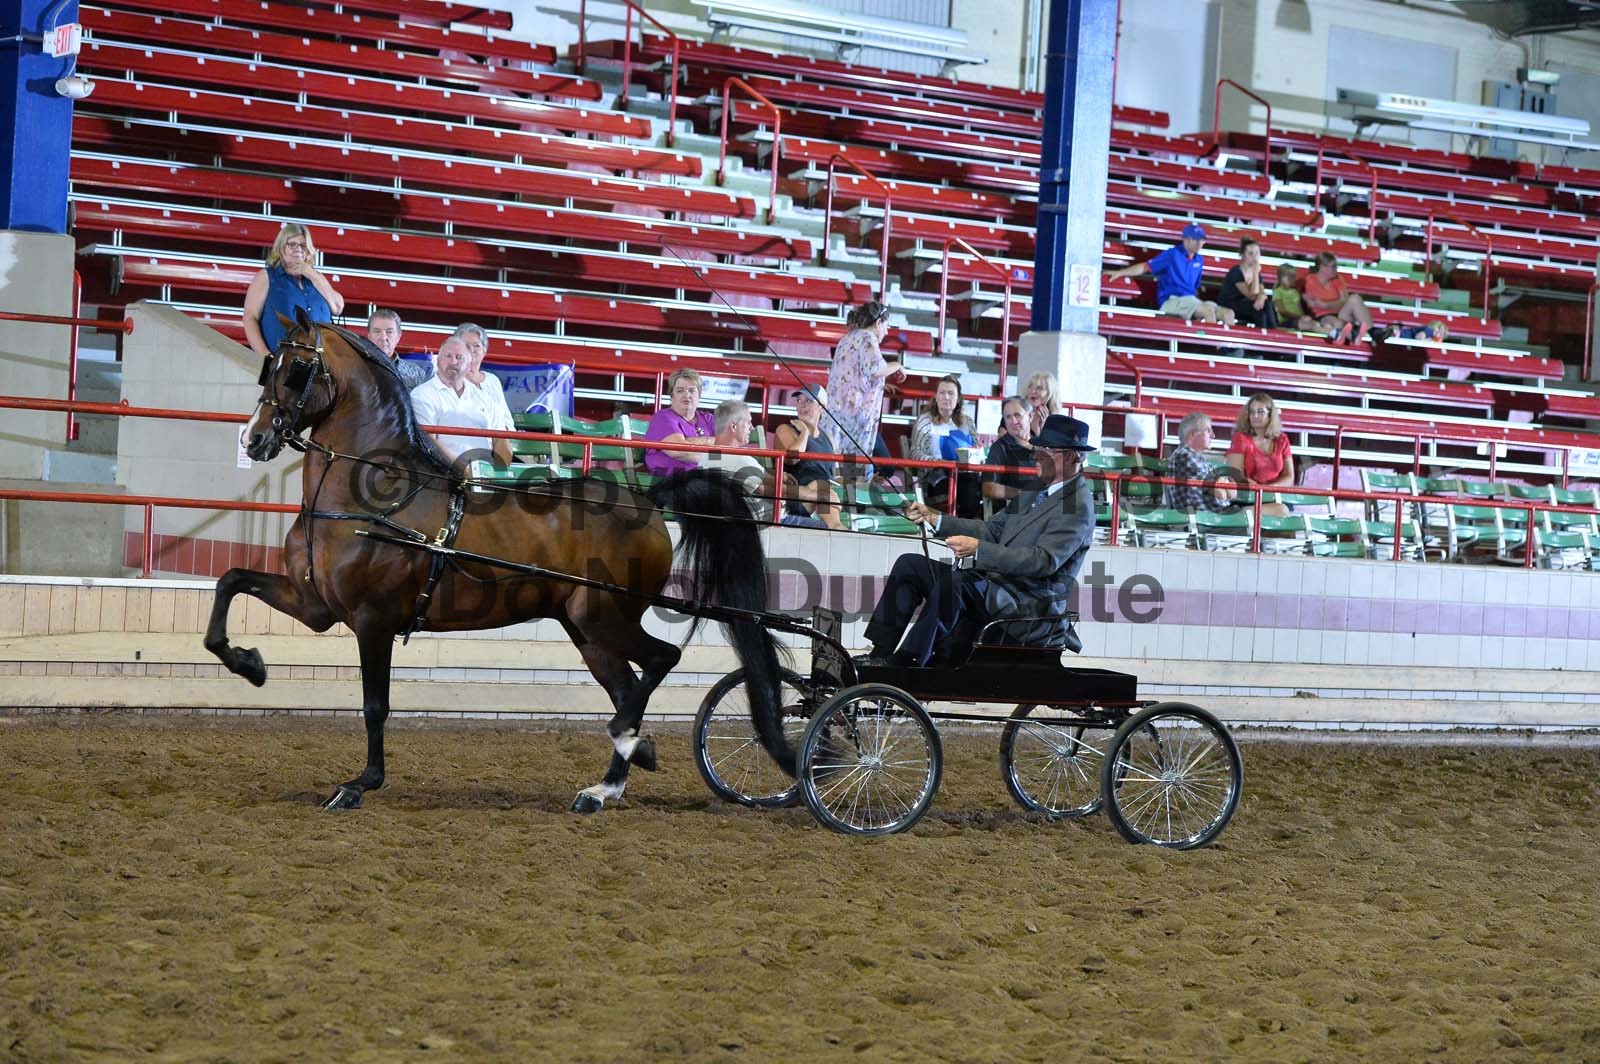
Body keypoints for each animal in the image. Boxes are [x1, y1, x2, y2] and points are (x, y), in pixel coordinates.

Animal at [205, 310, 796, 812]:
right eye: (270, 364)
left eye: (299, 368)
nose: (255, 439)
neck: (373, 496)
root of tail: (648, 499)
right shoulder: (316, 605)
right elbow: (229, 583)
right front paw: (249, 664)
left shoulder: (373, 620)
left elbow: (375, 705)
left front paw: (359, 784)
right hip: (586, 630)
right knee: (629, 685)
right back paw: (608, 782)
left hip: (604, 619)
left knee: (661, 660)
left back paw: (627, 745)